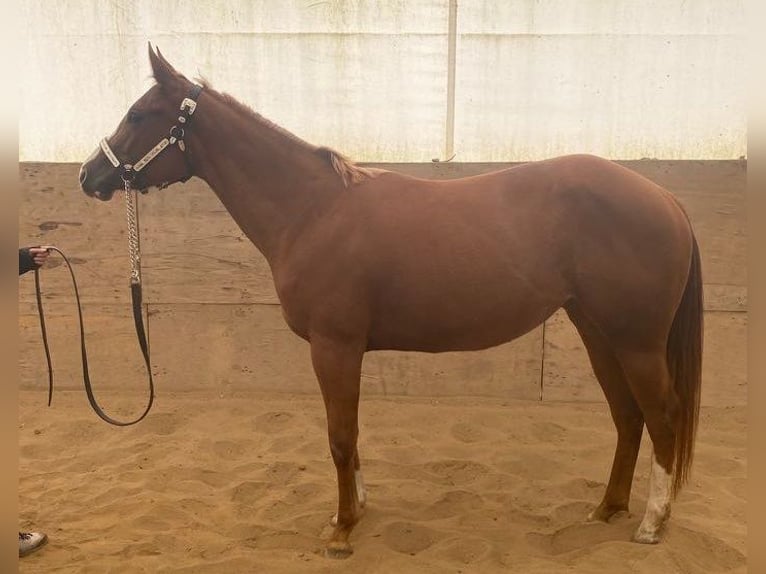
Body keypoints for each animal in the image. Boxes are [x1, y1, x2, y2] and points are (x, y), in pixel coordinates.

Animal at [79, 47, 704, 560]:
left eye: (139, 115)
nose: (89, 175)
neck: (312, 210)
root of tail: (666, 198)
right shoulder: (344, 350)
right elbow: (350, 435)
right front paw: (354, 510)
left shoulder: (334, 347)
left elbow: (339, 437)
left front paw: (341, 530)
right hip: (598, 332)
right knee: (627, 416)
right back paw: (607, 509)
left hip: (637, 342)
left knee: (663, 416)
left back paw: (651, 524)